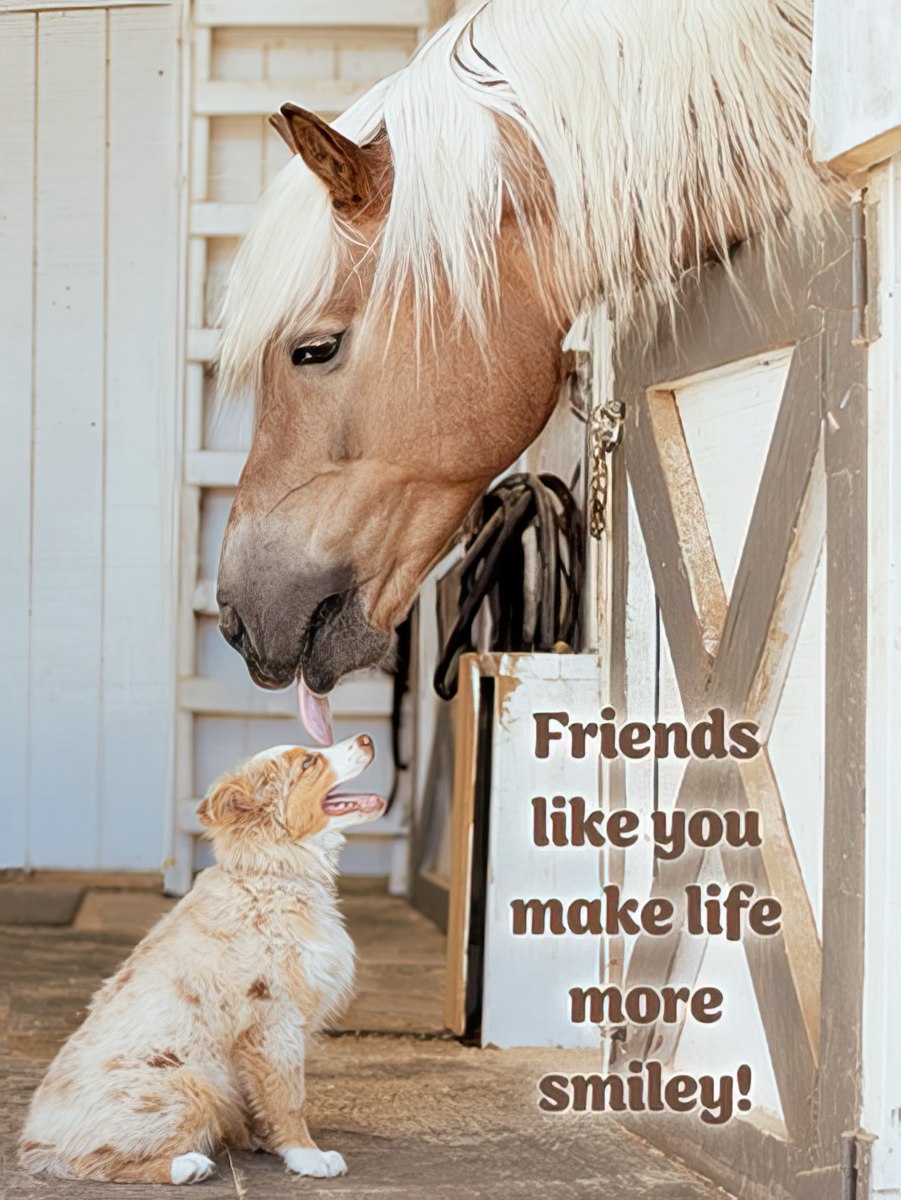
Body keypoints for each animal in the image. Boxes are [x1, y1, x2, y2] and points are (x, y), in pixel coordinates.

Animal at [18, 734, 383, 1185]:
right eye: (308, 763)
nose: (367, 738)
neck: (270, 875)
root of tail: (39, 1143)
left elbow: (263, 1097)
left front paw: (265, 1138)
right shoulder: (272, 1021)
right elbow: (287, 1096)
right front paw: (307, 1155)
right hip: (192, 1085)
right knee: (92, 1162)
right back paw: (186, 1166)